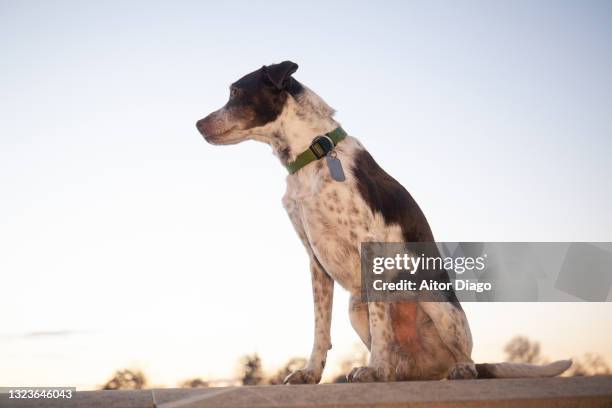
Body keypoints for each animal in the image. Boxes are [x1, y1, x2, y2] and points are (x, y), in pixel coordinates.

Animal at [197, 60, 572, 382]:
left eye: (235, 92)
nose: (197, 124)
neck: (312, 156)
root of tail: (424, 367)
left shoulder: (369, 247)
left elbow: (380, 323)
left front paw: (372, 368)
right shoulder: (316, 260)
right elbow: (321, 327)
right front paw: (310, 373)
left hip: (434, 299)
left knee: (464, 358)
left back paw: (454, 369)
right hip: (355, 306)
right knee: (398, 357)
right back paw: (393, 370)